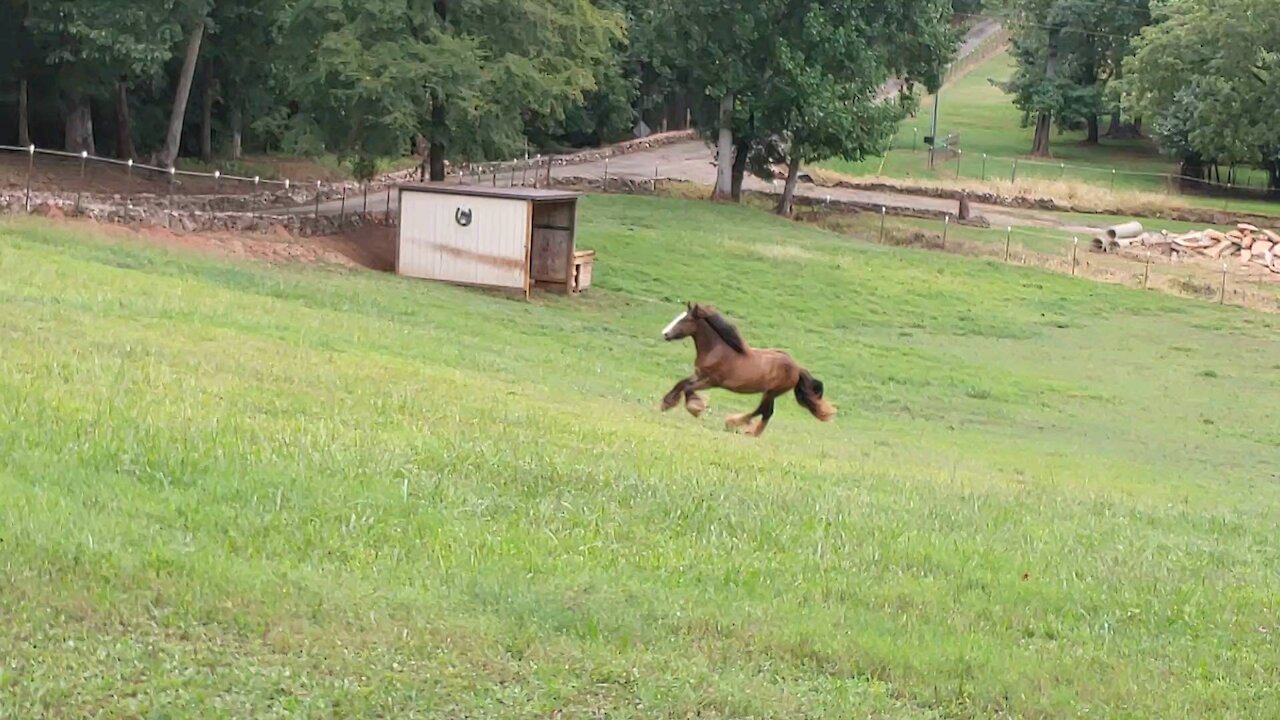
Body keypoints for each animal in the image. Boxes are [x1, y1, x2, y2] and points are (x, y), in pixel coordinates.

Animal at [660, 299, 839, 435]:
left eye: (685, 320)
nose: (665, 334)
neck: (717, 350)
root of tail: (797, 367)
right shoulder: (699, 374)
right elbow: (681, 383)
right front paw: (667, 404)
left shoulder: (712, 381)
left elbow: (687, 388)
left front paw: (695, 408)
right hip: (769, 392)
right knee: (765, 412)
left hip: (772, 392)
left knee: (764, 411)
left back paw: (738, 426)